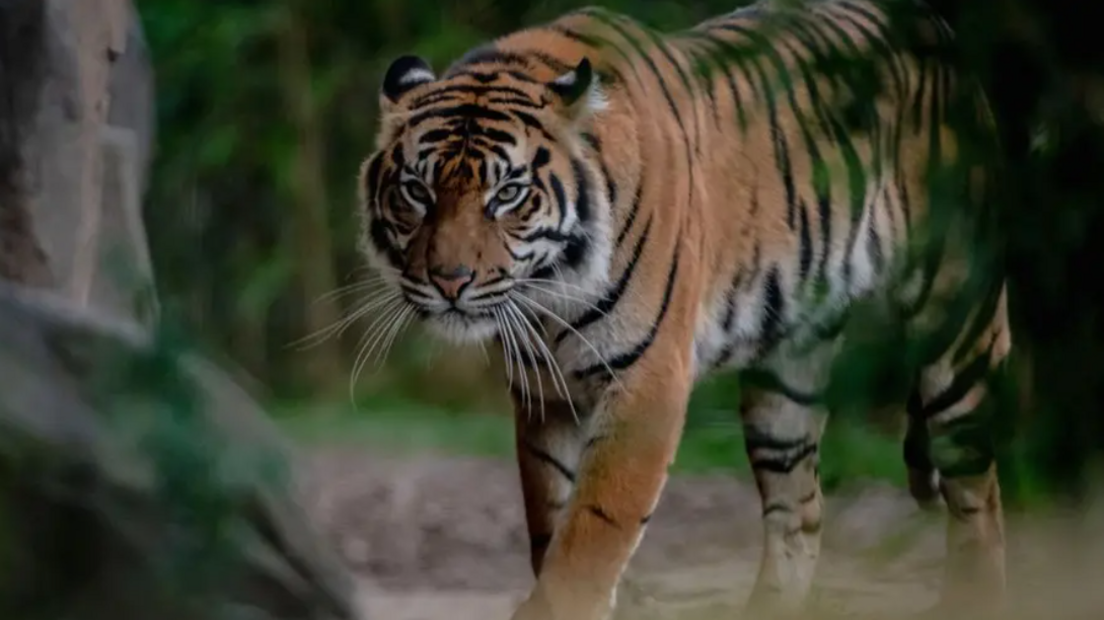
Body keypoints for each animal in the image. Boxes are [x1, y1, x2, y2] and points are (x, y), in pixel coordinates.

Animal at [355, 0, 1010, 618]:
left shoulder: (646, 382)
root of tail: (932, 27)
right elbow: (550, 519)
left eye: (508, 194)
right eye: (417, 190)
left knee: (978, 502)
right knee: (800, 510)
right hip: (787, 380)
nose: (449, 281)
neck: (549, 294)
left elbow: (592, 533)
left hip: (959, 326)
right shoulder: (546, 394)